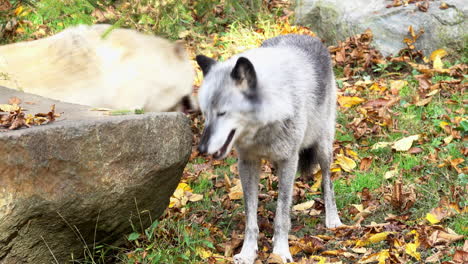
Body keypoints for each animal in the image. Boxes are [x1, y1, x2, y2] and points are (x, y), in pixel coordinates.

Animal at [196, 34, 342, 262]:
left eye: (222, 113)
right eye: (205, 114)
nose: (201, 148)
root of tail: (306, 35)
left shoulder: (289, 161)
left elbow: (282, 214)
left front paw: (281, 251)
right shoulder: (247, 164)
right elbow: (251, 218)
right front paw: (248, 252)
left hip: (323, 147)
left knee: (328, 181)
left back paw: (333, 218)